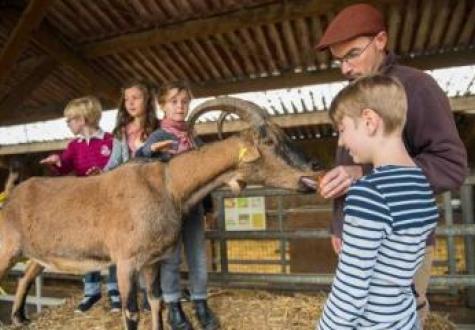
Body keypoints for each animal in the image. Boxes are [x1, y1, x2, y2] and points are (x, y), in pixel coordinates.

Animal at [0, 97, 320, 330]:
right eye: (269, 141)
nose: (313, 168)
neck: (169, 185)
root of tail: (11, 197)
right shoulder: (126, 262)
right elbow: (131, 313)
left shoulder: (153, 260)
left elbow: (157, 302)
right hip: (7, 248)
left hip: (38, 252)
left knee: (26, 275)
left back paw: (20, 318)